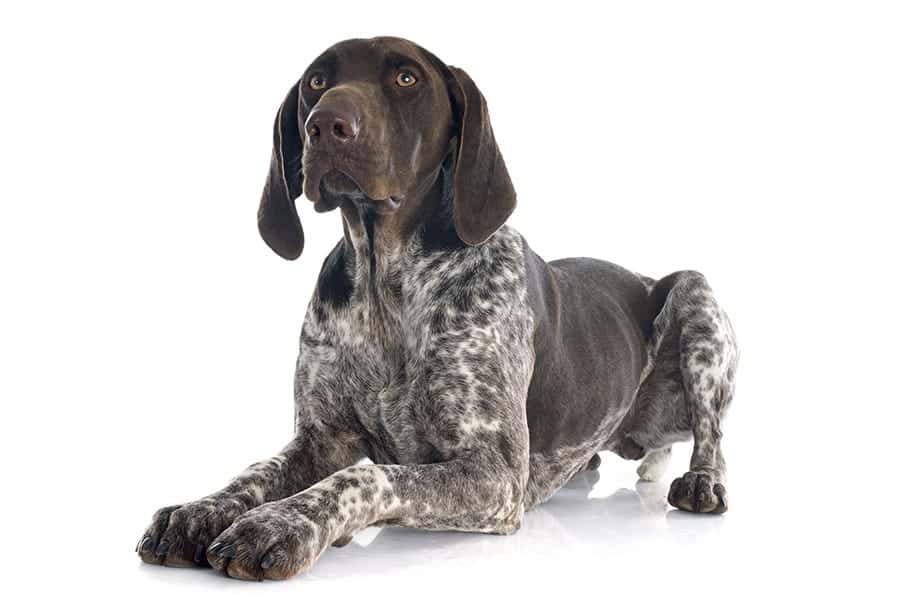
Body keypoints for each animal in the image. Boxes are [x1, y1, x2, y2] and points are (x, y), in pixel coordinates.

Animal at [135, 37, 740, 580]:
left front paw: (279, 524)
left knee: (710, 433)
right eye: (316, 82)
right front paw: (201, 509)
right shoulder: (320, 439)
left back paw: (703, 481)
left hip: (695, 298)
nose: (325, 124)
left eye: (407, 78)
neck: (385, 285)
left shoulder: (493, 474)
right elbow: (255, 471)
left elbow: (362, 479)